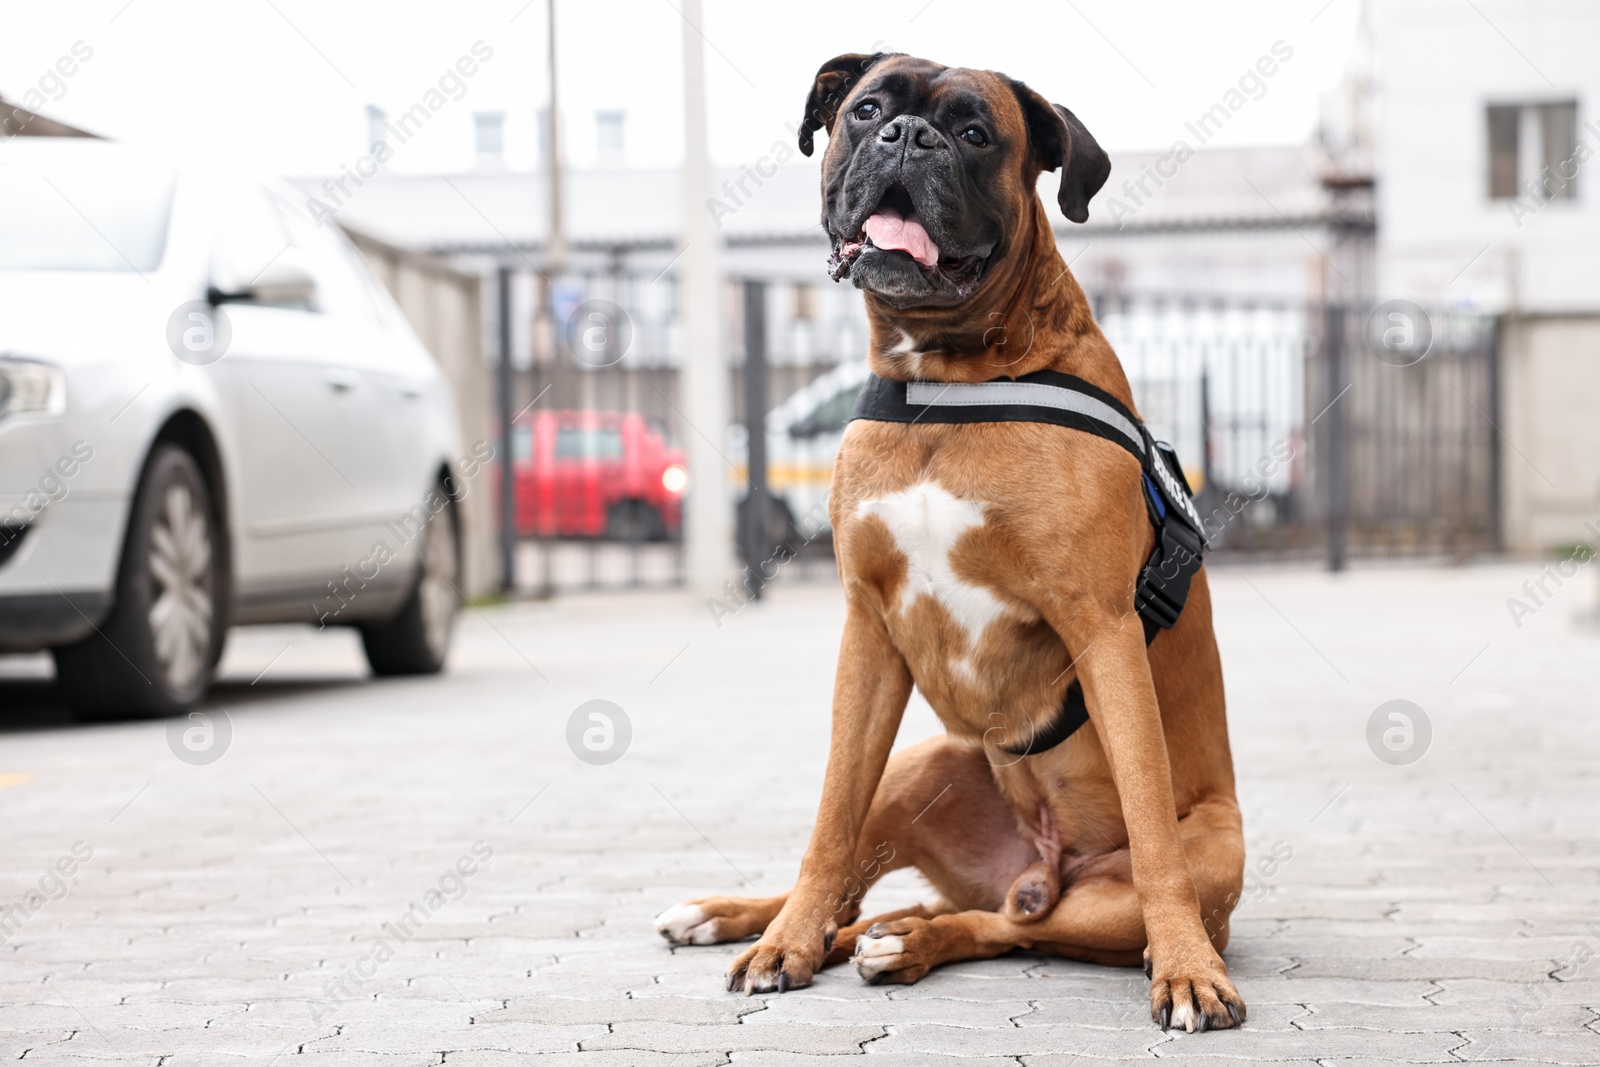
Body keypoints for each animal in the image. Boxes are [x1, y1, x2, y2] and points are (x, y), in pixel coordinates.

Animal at [656, 51, 1241, 1036]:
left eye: (975, 133)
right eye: (865, 111)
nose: (908, 136)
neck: (947, 379)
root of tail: (1036, 864)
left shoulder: (1105, 632)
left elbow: (1153, 829)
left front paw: (1188, 971)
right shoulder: (867, 631)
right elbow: (829, 817)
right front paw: (785, 943)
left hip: (1199, 858)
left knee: (1009, 924)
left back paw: (908, 943)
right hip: (921, 762)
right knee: (871, 890)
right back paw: (763, 920)